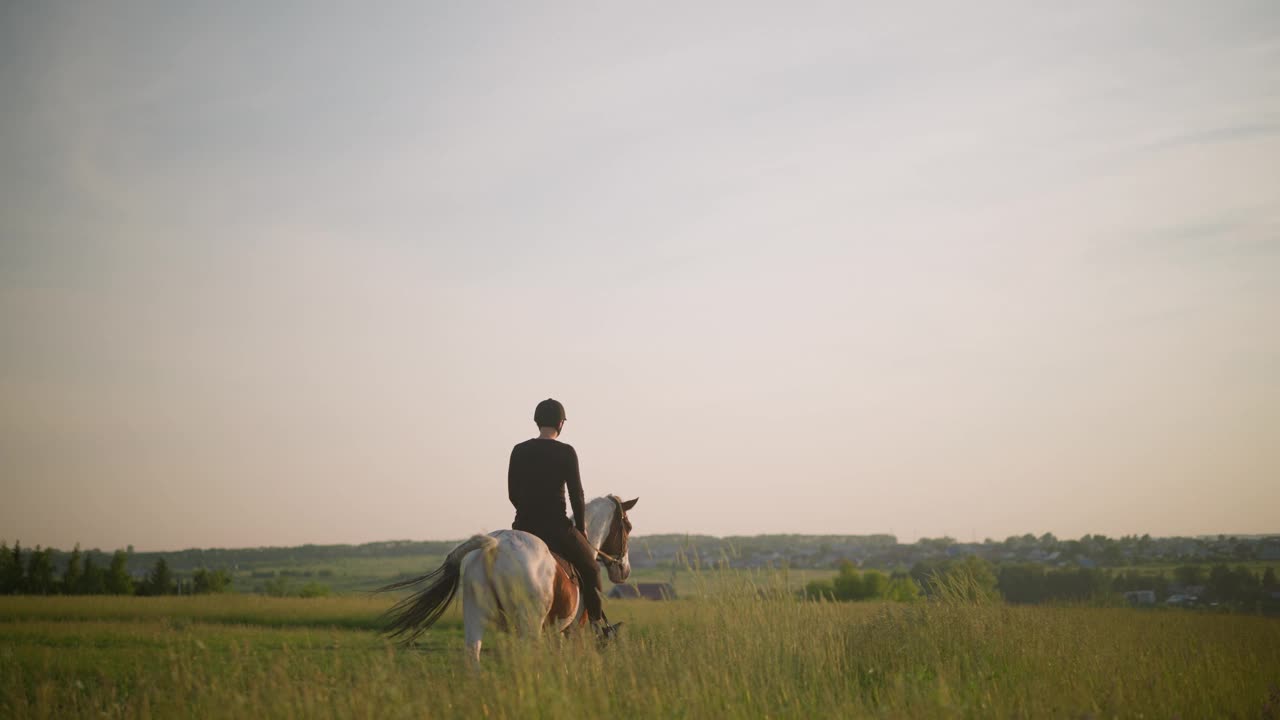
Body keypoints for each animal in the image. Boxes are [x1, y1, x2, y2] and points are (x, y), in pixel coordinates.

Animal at [378, 491, 640, 661]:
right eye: (627, 528)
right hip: (529, 625)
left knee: (473, 655)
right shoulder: (572, 628)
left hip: (475, 617)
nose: (624, 570)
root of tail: (494, 545)